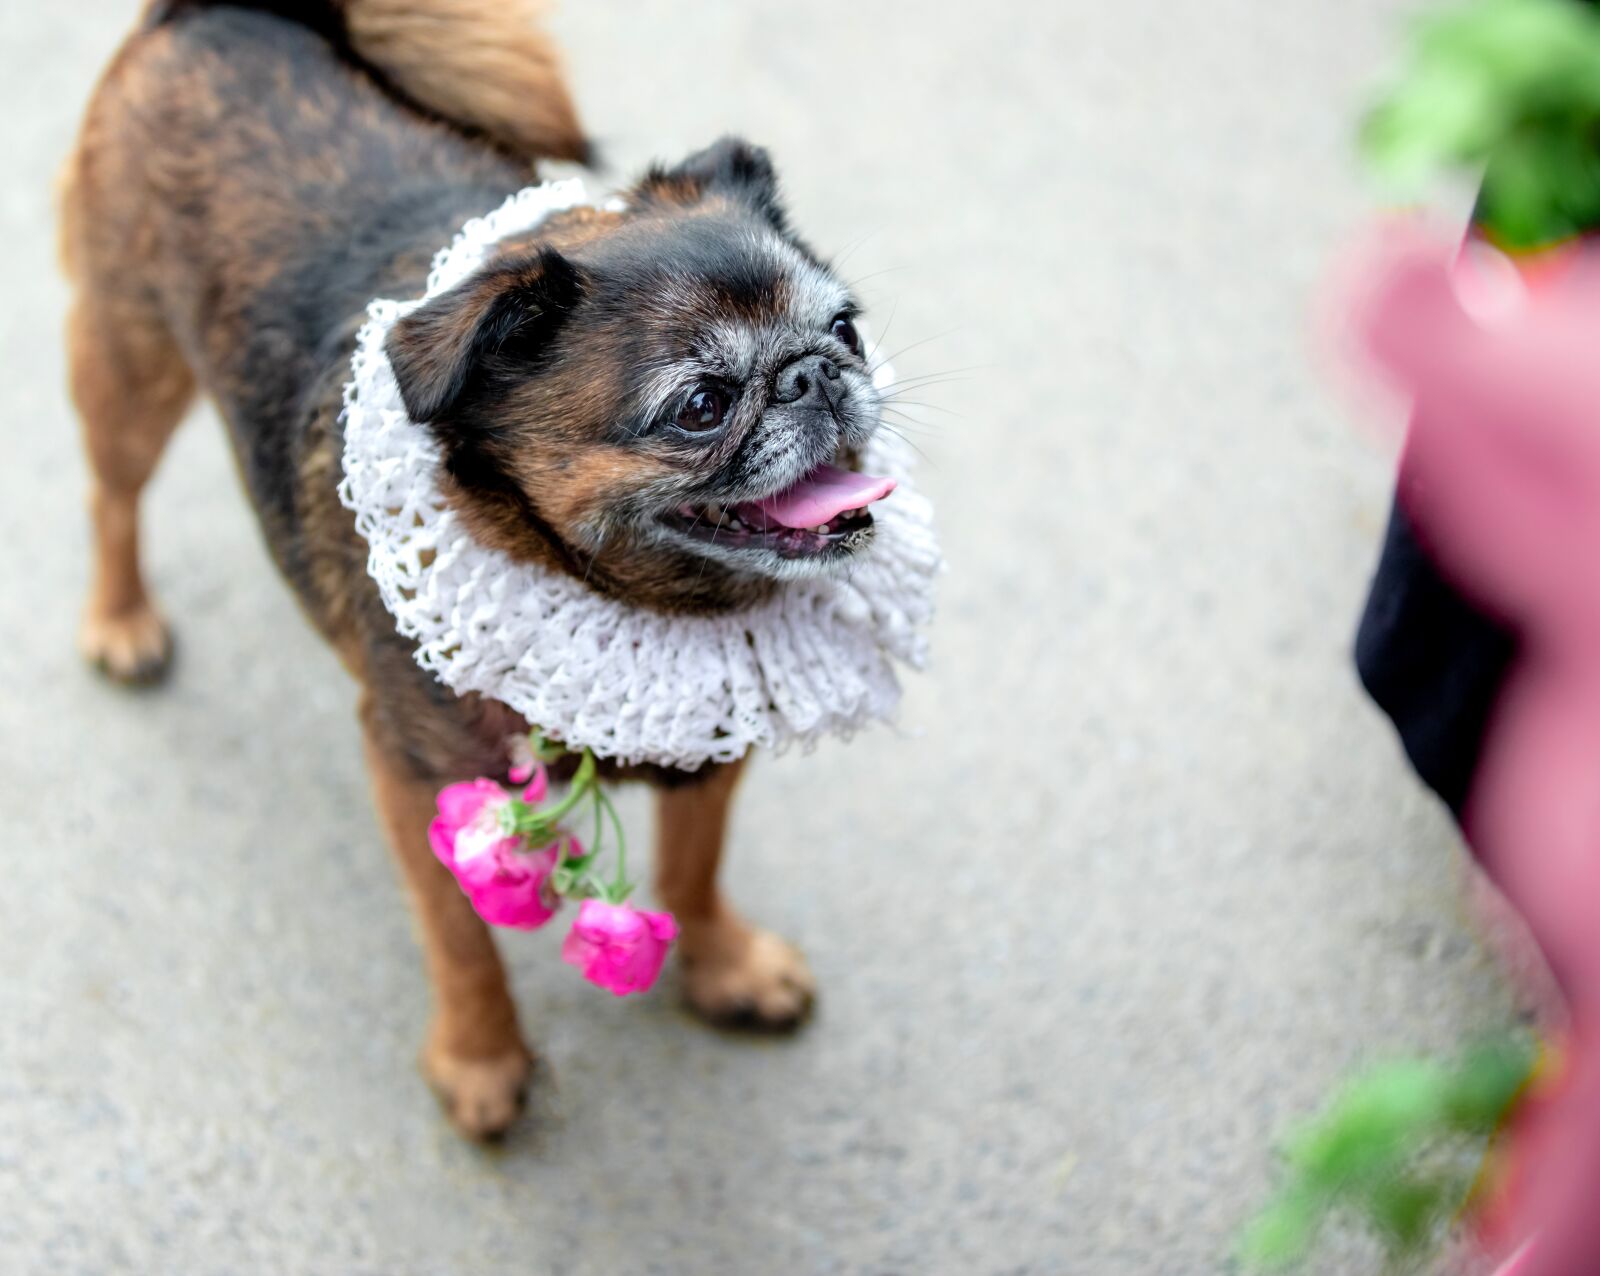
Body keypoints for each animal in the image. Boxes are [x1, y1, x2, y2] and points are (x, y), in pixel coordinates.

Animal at [62, 0, 896, 1138]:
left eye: (847, 326)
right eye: (701, 405)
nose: (819, 372)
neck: (617, 596)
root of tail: (219, 11)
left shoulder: (709, 755)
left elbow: (692, 865)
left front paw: (722, 965)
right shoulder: (423, 783)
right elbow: (459, 938)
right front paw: (481, 1056)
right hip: (130, 362)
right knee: (113, 495)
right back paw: (121, 620)